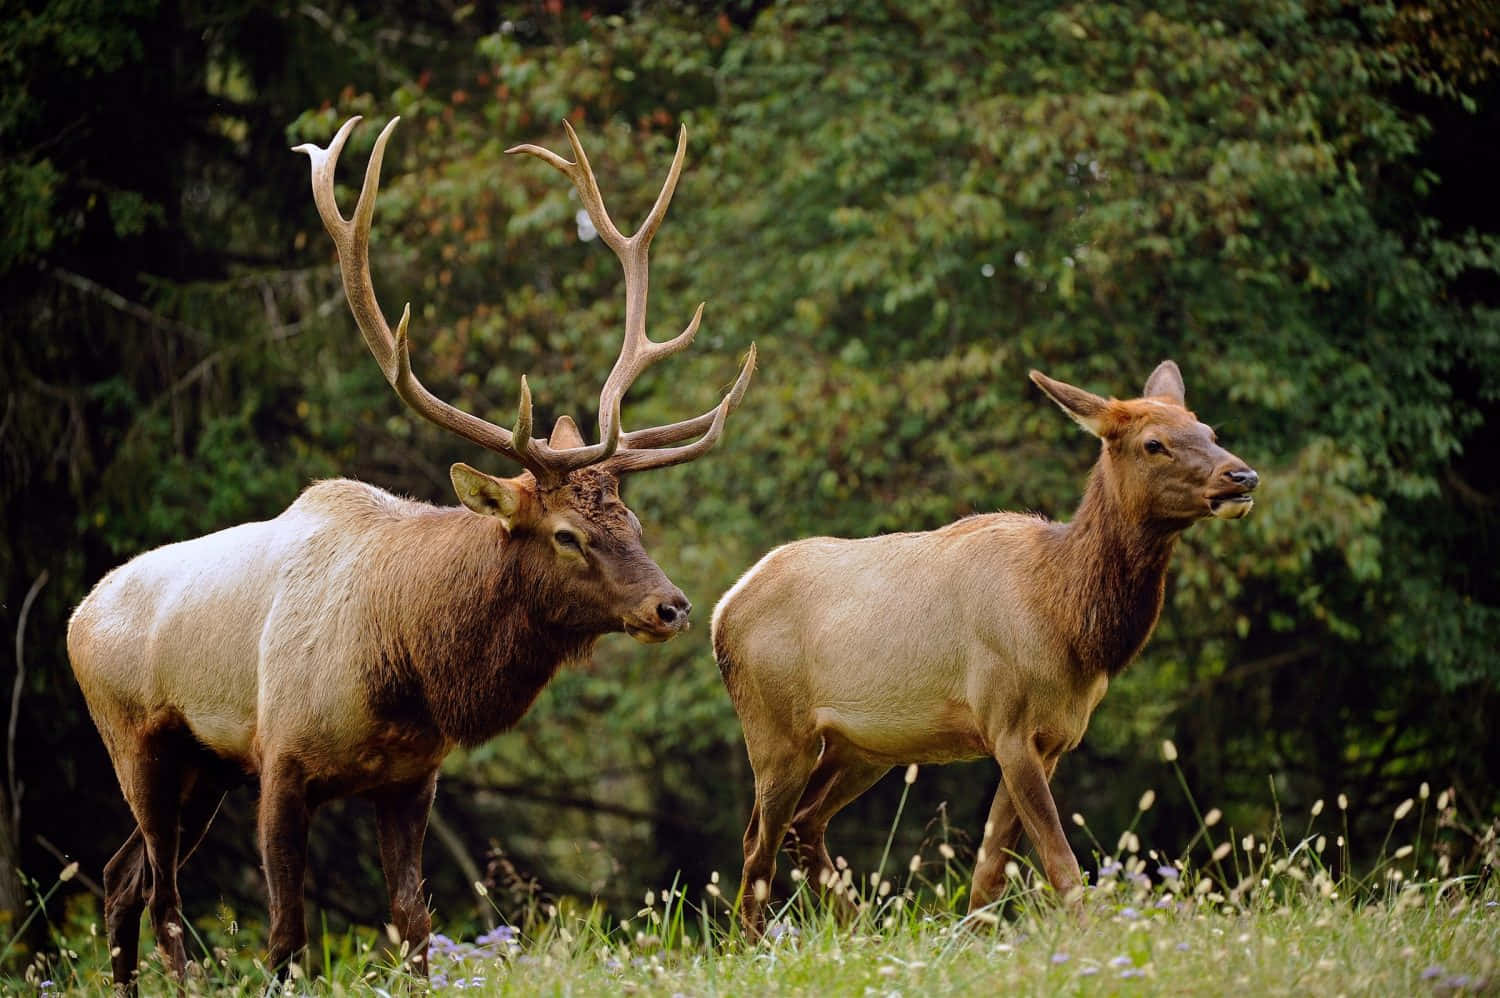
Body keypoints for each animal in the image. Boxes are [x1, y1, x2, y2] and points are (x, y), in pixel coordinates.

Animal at [67, 115, 754, 990]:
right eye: (567, 535)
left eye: (631, 520)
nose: (671, 606)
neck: (402, 666)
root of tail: (77, 618)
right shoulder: (279, 761)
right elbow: (286, 936)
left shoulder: (410, 778)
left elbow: (413, 925)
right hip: (137, 744)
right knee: (161, 897)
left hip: (201, 768)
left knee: (120, 880)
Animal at [711, 361, 1257, 936]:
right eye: (1154, 443)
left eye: (1209, 431)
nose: (1242, 477)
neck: (1069, 624)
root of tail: (723, 609)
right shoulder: (1007, 721)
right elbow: (1059, 862)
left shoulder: (1052, 738)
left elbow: (991, 869)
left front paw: (974, 939)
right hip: (776, 730)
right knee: (757, 845)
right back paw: (750, 945)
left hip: (861, 745)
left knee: (802, 823)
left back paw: (861, 930)